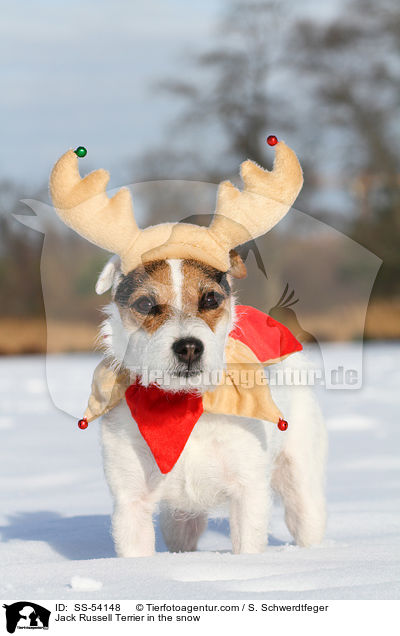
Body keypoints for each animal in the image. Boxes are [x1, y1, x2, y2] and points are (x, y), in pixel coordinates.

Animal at [97, 253, 328, 556]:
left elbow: (248, 545)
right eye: (145, 304)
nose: (189, 348)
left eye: (210, 299)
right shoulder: (131, 500)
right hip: (178, 522)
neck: (184, 405)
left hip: (300, 481)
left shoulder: (248, 491)